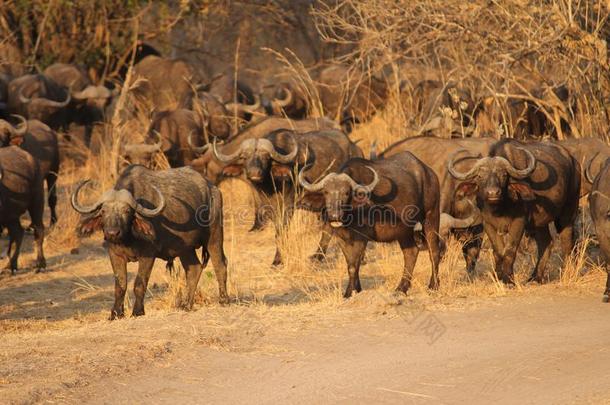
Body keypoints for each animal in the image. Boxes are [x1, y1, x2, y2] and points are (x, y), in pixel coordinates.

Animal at [0, 144, 46, 274]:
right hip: (10, 215)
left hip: (37, 201)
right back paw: (11, 265)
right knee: (18, 233)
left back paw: (40, 264)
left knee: (39, 229)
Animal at [72, 164, 228, 318]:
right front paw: (116, 313)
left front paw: (137, 311)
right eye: (103, 211)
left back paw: (223, 299)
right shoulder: (115, 255)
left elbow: (139, 284)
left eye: (127, 211)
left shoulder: (147, 255)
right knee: (194, 269)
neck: (128, 238)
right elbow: (120, 285)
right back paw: (186, 305)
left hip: (214, 236)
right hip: (186, 249)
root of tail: (212, 188)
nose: (112, 233)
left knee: (220, 264)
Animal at [296, 152, 440, 296]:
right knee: (411, 252)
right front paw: (355, 289)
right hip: (404, 232)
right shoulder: (341, 238)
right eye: (326, 192)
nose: (334, 216)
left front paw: (350, 292)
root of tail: (430, 174)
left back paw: (433, 286)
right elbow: (350, 263)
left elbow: (354, 264)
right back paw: (401, 288)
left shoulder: (362, 237)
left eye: (346, 193)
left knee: (433, 252)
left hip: (431, 217)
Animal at [446, 139, 580, 284]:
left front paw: (508, 279)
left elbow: (510, 250)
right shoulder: (488, 224)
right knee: (546, 243)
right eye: (480, 176)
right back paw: (535, 278)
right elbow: (498, 251)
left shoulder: (519, 222)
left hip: (567, 213)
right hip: (539, 223)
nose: (493, 193)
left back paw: (567, 273)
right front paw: (499, 276)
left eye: (503, 175)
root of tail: (573, 161)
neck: (500, 208)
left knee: (567, 242)